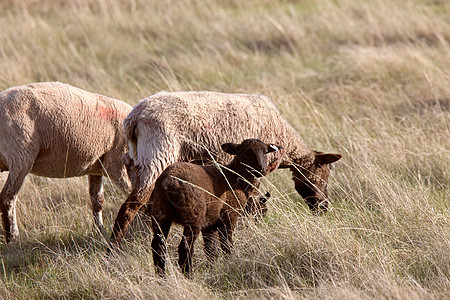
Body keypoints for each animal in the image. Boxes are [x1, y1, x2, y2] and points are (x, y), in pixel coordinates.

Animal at [0, 82, 133, 244]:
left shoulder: (97, 167)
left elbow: (97, 200)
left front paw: (99, 231)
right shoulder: (117, 164)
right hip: (20, 156)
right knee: (8, 198)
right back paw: (13, 238)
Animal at [110, 91, 342, 248]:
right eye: (325, 174)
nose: (324, 207)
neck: (285, 141)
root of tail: (134, 118)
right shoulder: (254, 171)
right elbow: (250, 202)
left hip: (134, 161)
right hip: (157, 154)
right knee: (130, 207)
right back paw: (113, 250)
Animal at [149, 138, 282, 276]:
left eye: (265, 152)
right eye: (245, 153)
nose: (260, 169)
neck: (234, 177)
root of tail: (169, 181)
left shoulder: (210, 223)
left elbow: (211, 250)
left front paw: (213, 269)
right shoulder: (229, 215)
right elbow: (226, 245)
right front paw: (230, 262)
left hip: (160, 213)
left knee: (158, 247)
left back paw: (161, 277)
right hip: (193, 216)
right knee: (185, 248)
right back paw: (189, 275)